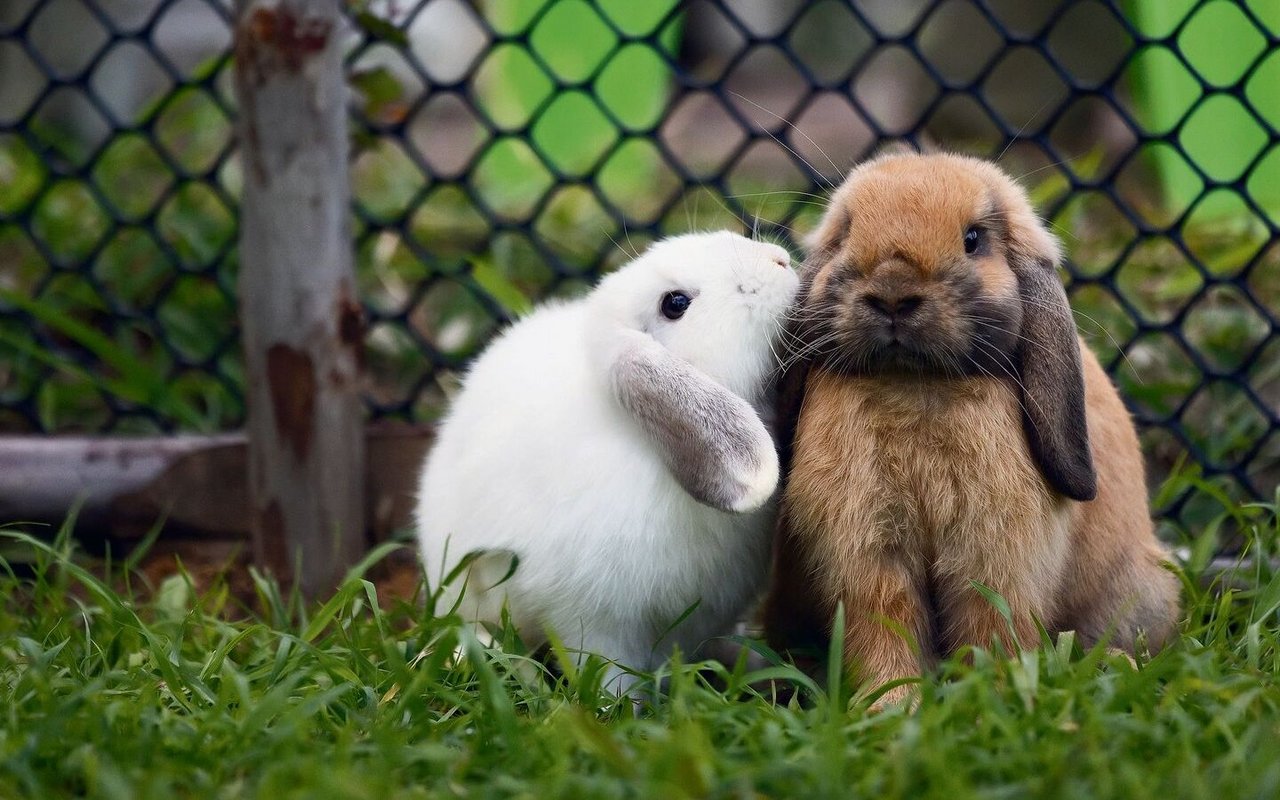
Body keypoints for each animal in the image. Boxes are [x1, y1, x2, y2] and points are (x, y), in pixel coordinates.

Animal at [768, 149, 1177, 696]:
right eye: (848, 231)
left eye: (973, 239)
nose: (893, 293)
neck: (915, 385)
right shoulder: (868, 551)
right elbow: (885, 623)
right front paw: (891, 702)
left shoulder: (994, 555)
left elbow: (991, 624)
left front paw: (993, 693)